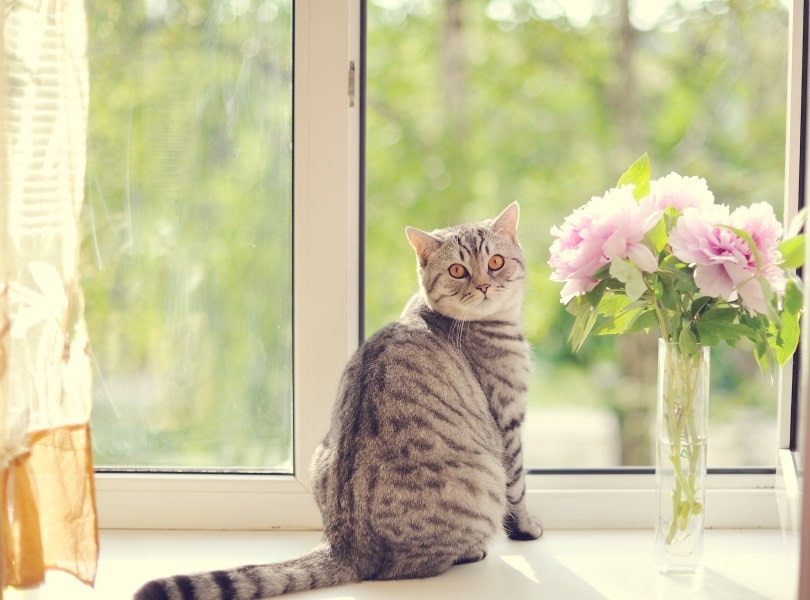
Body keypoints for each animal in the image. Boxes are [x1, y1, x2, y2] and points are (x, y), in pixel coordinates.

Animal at [134, 203, 544, 600]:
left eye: (495, 262)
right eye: (458, 270)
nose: (484, 285)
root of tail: (344, 544)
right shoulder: (508, 421)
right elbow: (518, 489)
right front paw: (527, 529)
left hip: (321, 452)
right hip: (482, 480)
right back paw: (471, 551)